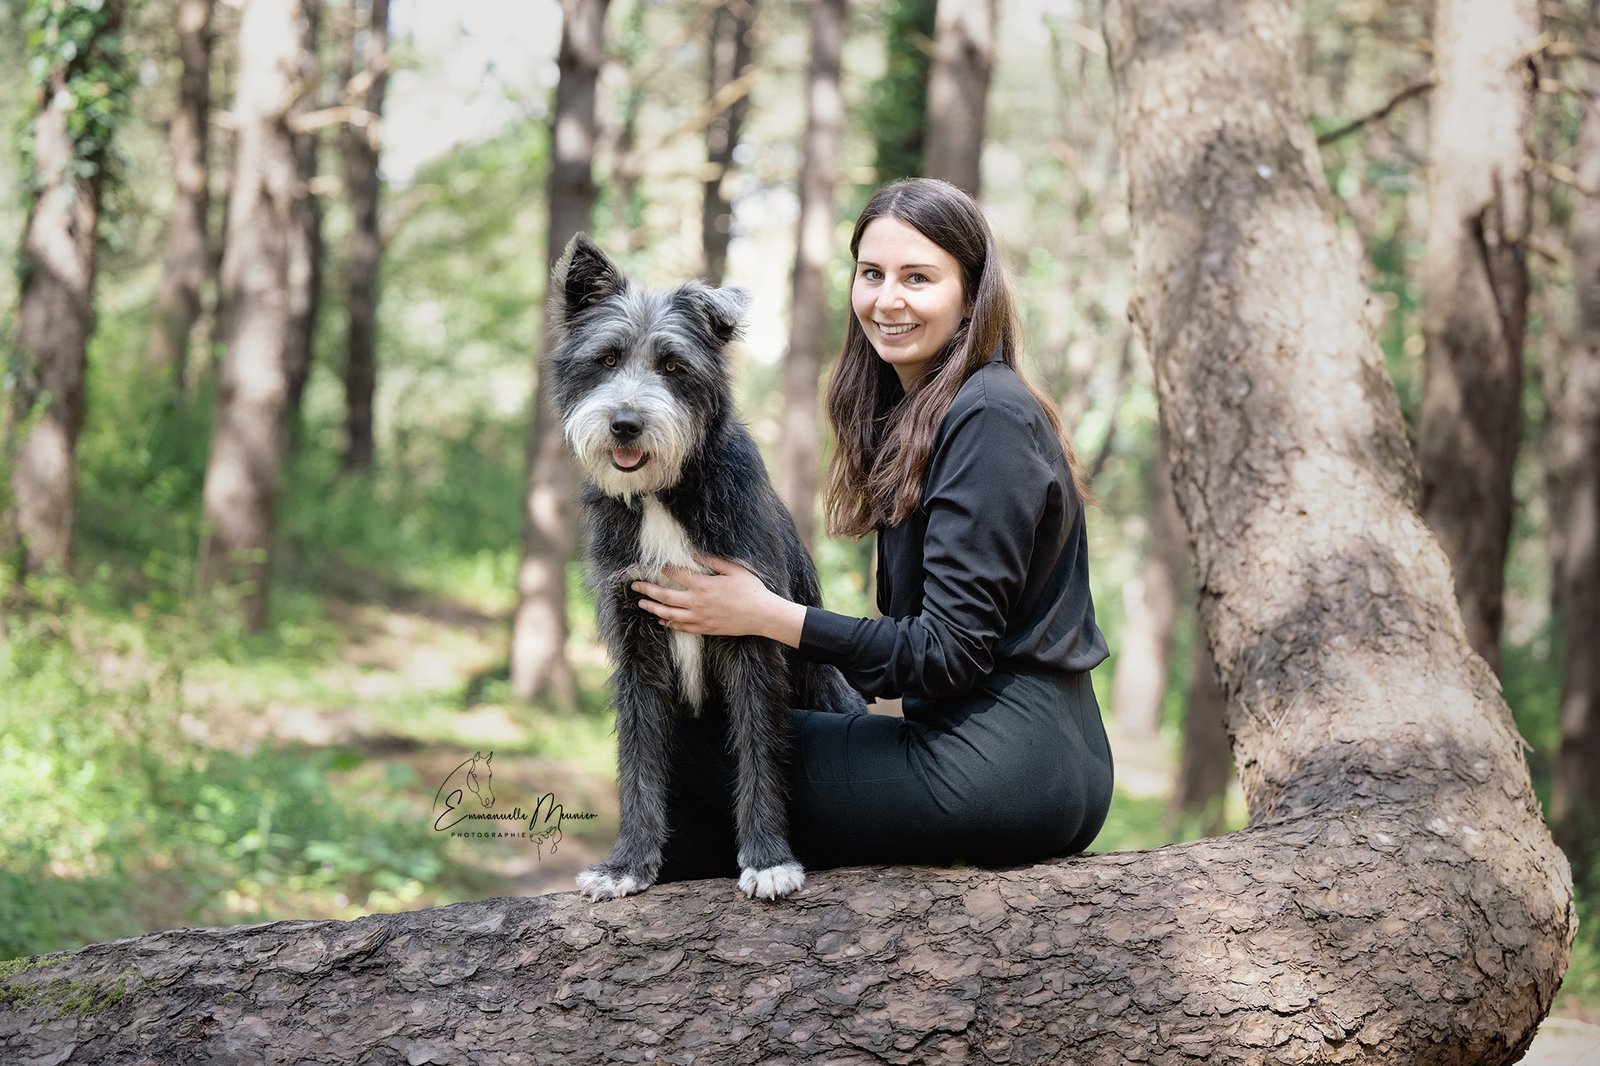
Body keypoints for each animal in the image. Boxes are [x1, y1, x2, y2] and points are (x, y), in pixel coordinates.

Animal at [553, 230, 876, 896]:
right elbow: (639, 761)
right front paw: (628, 864)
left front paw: (767, 857)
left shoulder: (752, 634)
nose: (625, 425)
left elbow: (759, 750)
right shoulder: (636, 646)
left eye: (673, 366)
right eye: (606, 360)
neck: (666, 495)